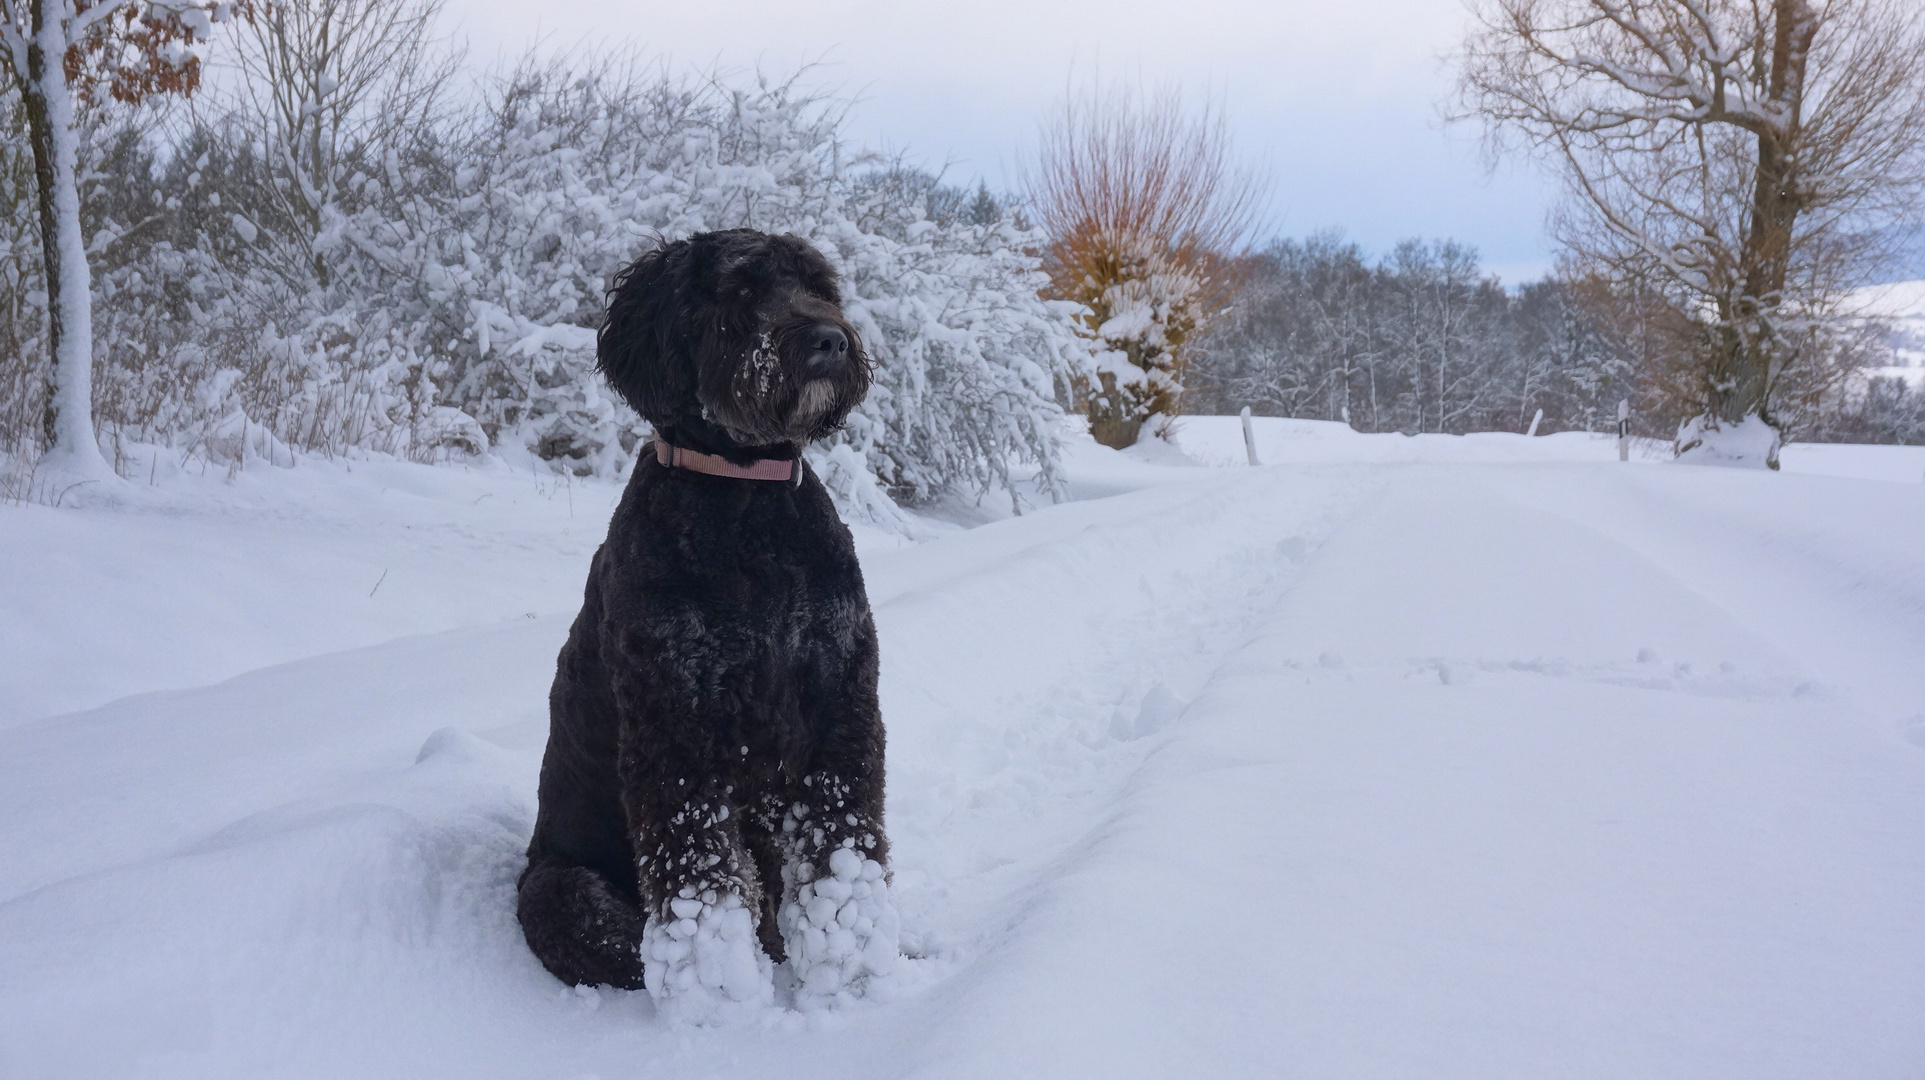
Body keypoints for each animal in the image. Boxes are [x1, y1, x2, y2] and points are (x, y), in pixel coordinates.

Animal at [523, 231, 889, 1001]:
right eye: (741, 289)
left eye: (820, 285)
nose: (830, 341)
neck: (748, 504)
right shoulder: (677, 726)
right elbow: (700, 880)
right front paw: (720, 996)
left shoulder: (838, 697)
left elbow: (843, 850)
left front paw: (854, 970)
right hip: (564, 891)